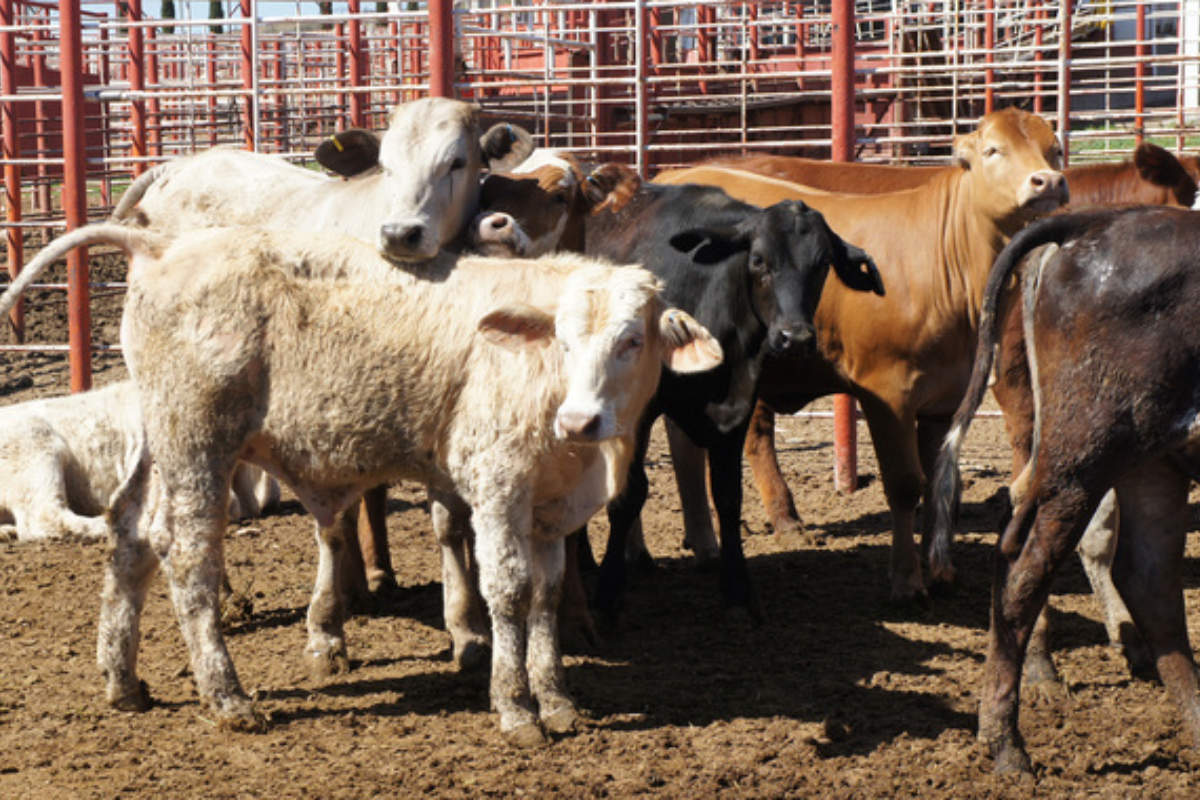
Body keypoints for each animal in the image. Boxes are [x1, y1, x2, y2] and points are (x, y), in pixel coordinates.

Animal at [84, 221, 720, 748]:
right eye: (563, 340)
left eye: (632, 340)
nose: (580, 421)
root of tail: (163, 246)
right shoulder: (498, 488)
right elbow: (509, 592)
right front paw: (517, 708)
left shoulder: (550, 510)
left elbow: (547, 595)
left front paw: (558, 700)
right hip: (198, 443)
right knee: (187, 556)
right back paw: (228, 697)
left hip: (161, 443)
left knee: (131, 535)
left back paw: (123, 680)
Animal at [652, 109, 1065, 604]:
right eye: (993, 150)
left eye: (1055, 149)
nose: (1048, 181)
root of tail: (672, 175)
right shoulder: (887, 391)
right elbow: (906, 484)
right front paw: (907, 580)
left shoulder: (945, 396)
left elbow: (939, 481)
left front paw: (939, 570)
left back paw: (715, 540)